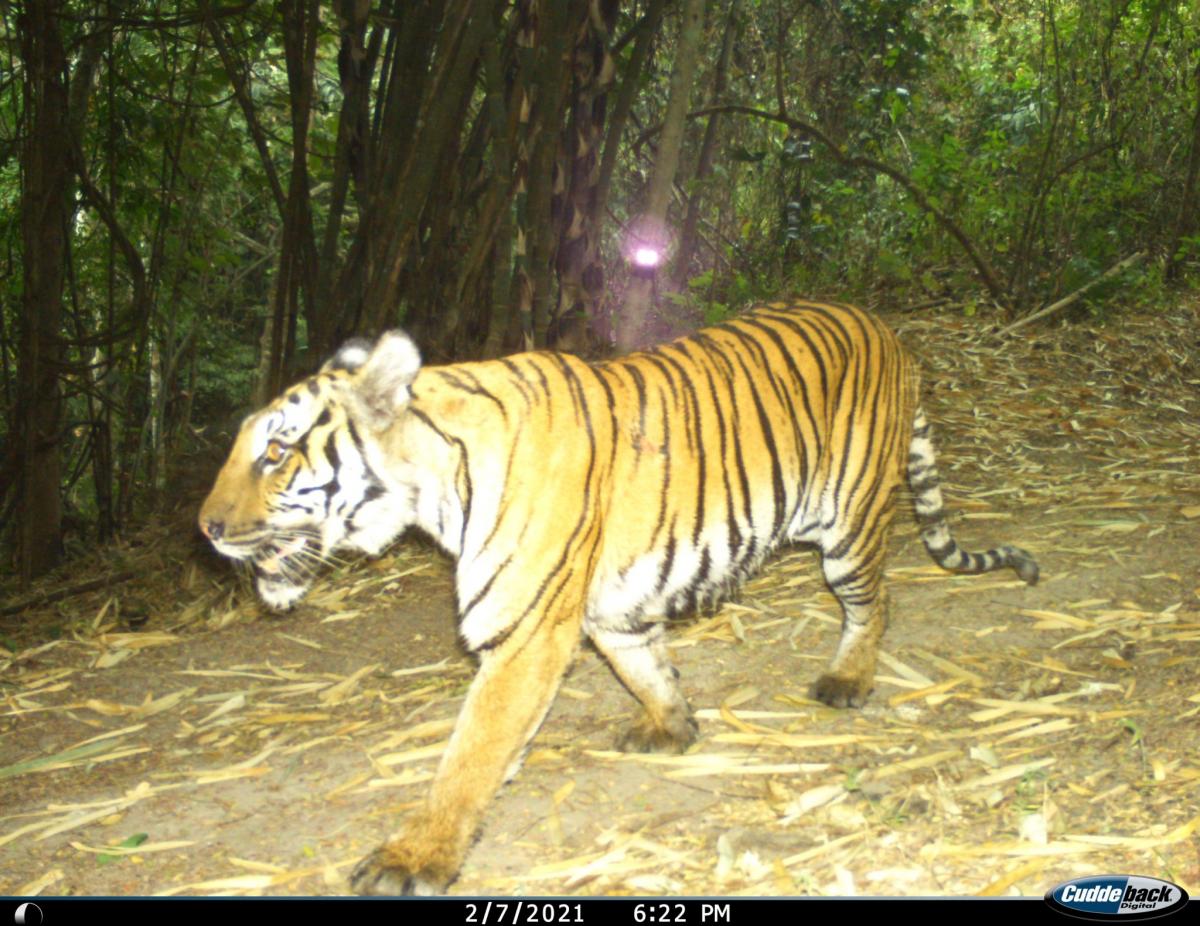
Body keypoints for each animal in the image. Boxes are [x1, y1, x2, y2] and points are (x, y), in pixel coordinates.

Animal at [199, 300, 1038, 894]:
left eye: (276, 452)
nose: (205, 528)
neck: (434, 482)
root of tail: (892, 335)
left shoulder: (524, 634)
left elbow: (469, 756)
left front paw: (413, 858)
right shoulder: (609, 604)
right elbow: (644, 665)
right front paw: (674, 726)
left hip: (851, 524)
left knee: (877, 602)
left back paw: (849, 678)